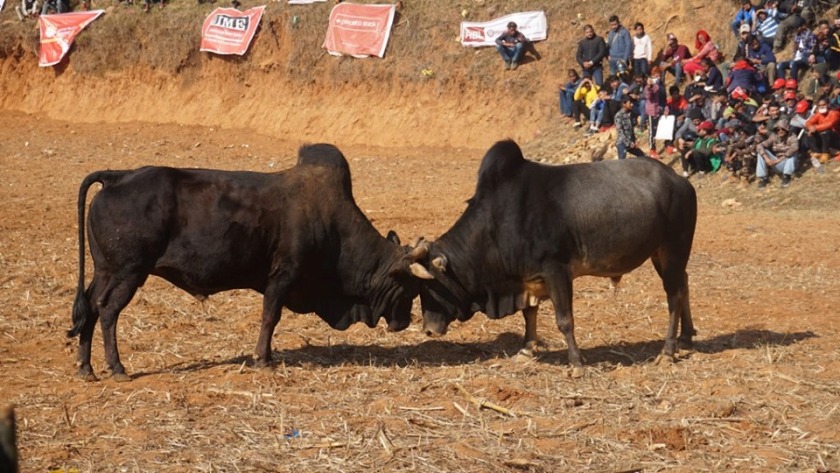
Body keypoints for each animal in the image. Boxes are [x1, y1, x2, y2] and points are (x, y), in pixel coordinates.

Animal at [67, 143, 420, 380]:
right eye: (409, 287)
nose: (405, 322)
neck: (332, 224)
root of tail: (118, 177)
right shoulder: (282, 277)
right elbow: (270, 318)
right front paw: (263, 359)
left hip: (105, 271)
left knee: (90, 306)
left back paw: (86, 367)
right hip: (128, 273)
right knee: (107, 310)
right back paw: (117, 367)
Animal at [410, 140, 700, 366]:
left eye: (430, 287)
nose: (428, 330)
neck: (500, 221)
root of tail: (680, 182)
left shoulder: (556, 271)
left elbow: (564, 319)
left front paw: (576, 363)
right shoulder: (528, 279)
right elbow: (529, 314)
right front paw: (526, 350)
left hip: (673, 249)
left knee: (673, 296)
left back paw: (668, 350)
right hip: (661, 254)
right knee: (684, 283)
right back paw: (686, 338)